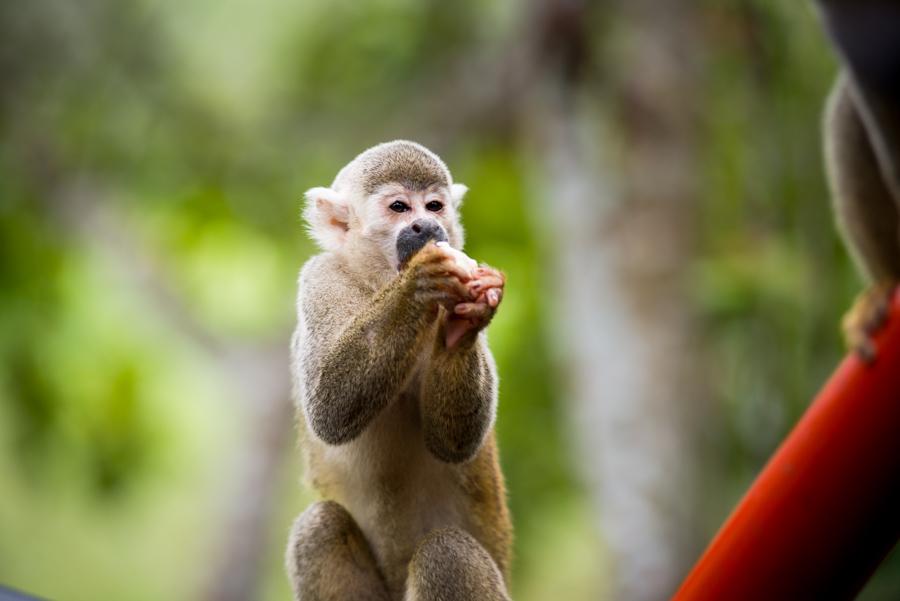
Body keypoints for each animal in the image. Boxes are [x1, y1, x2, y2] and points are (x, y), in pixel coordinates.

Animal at [288, 142, 512, 600]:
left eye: (434, 206)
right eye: (399, 207)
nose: (426, 225)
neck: (378, 285)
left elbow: (454, 443)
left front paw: (464, 325)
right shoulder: (320, 277)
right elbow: (328, 409)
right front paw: (419, 281)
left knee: (446, 551)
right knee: (319, 527)